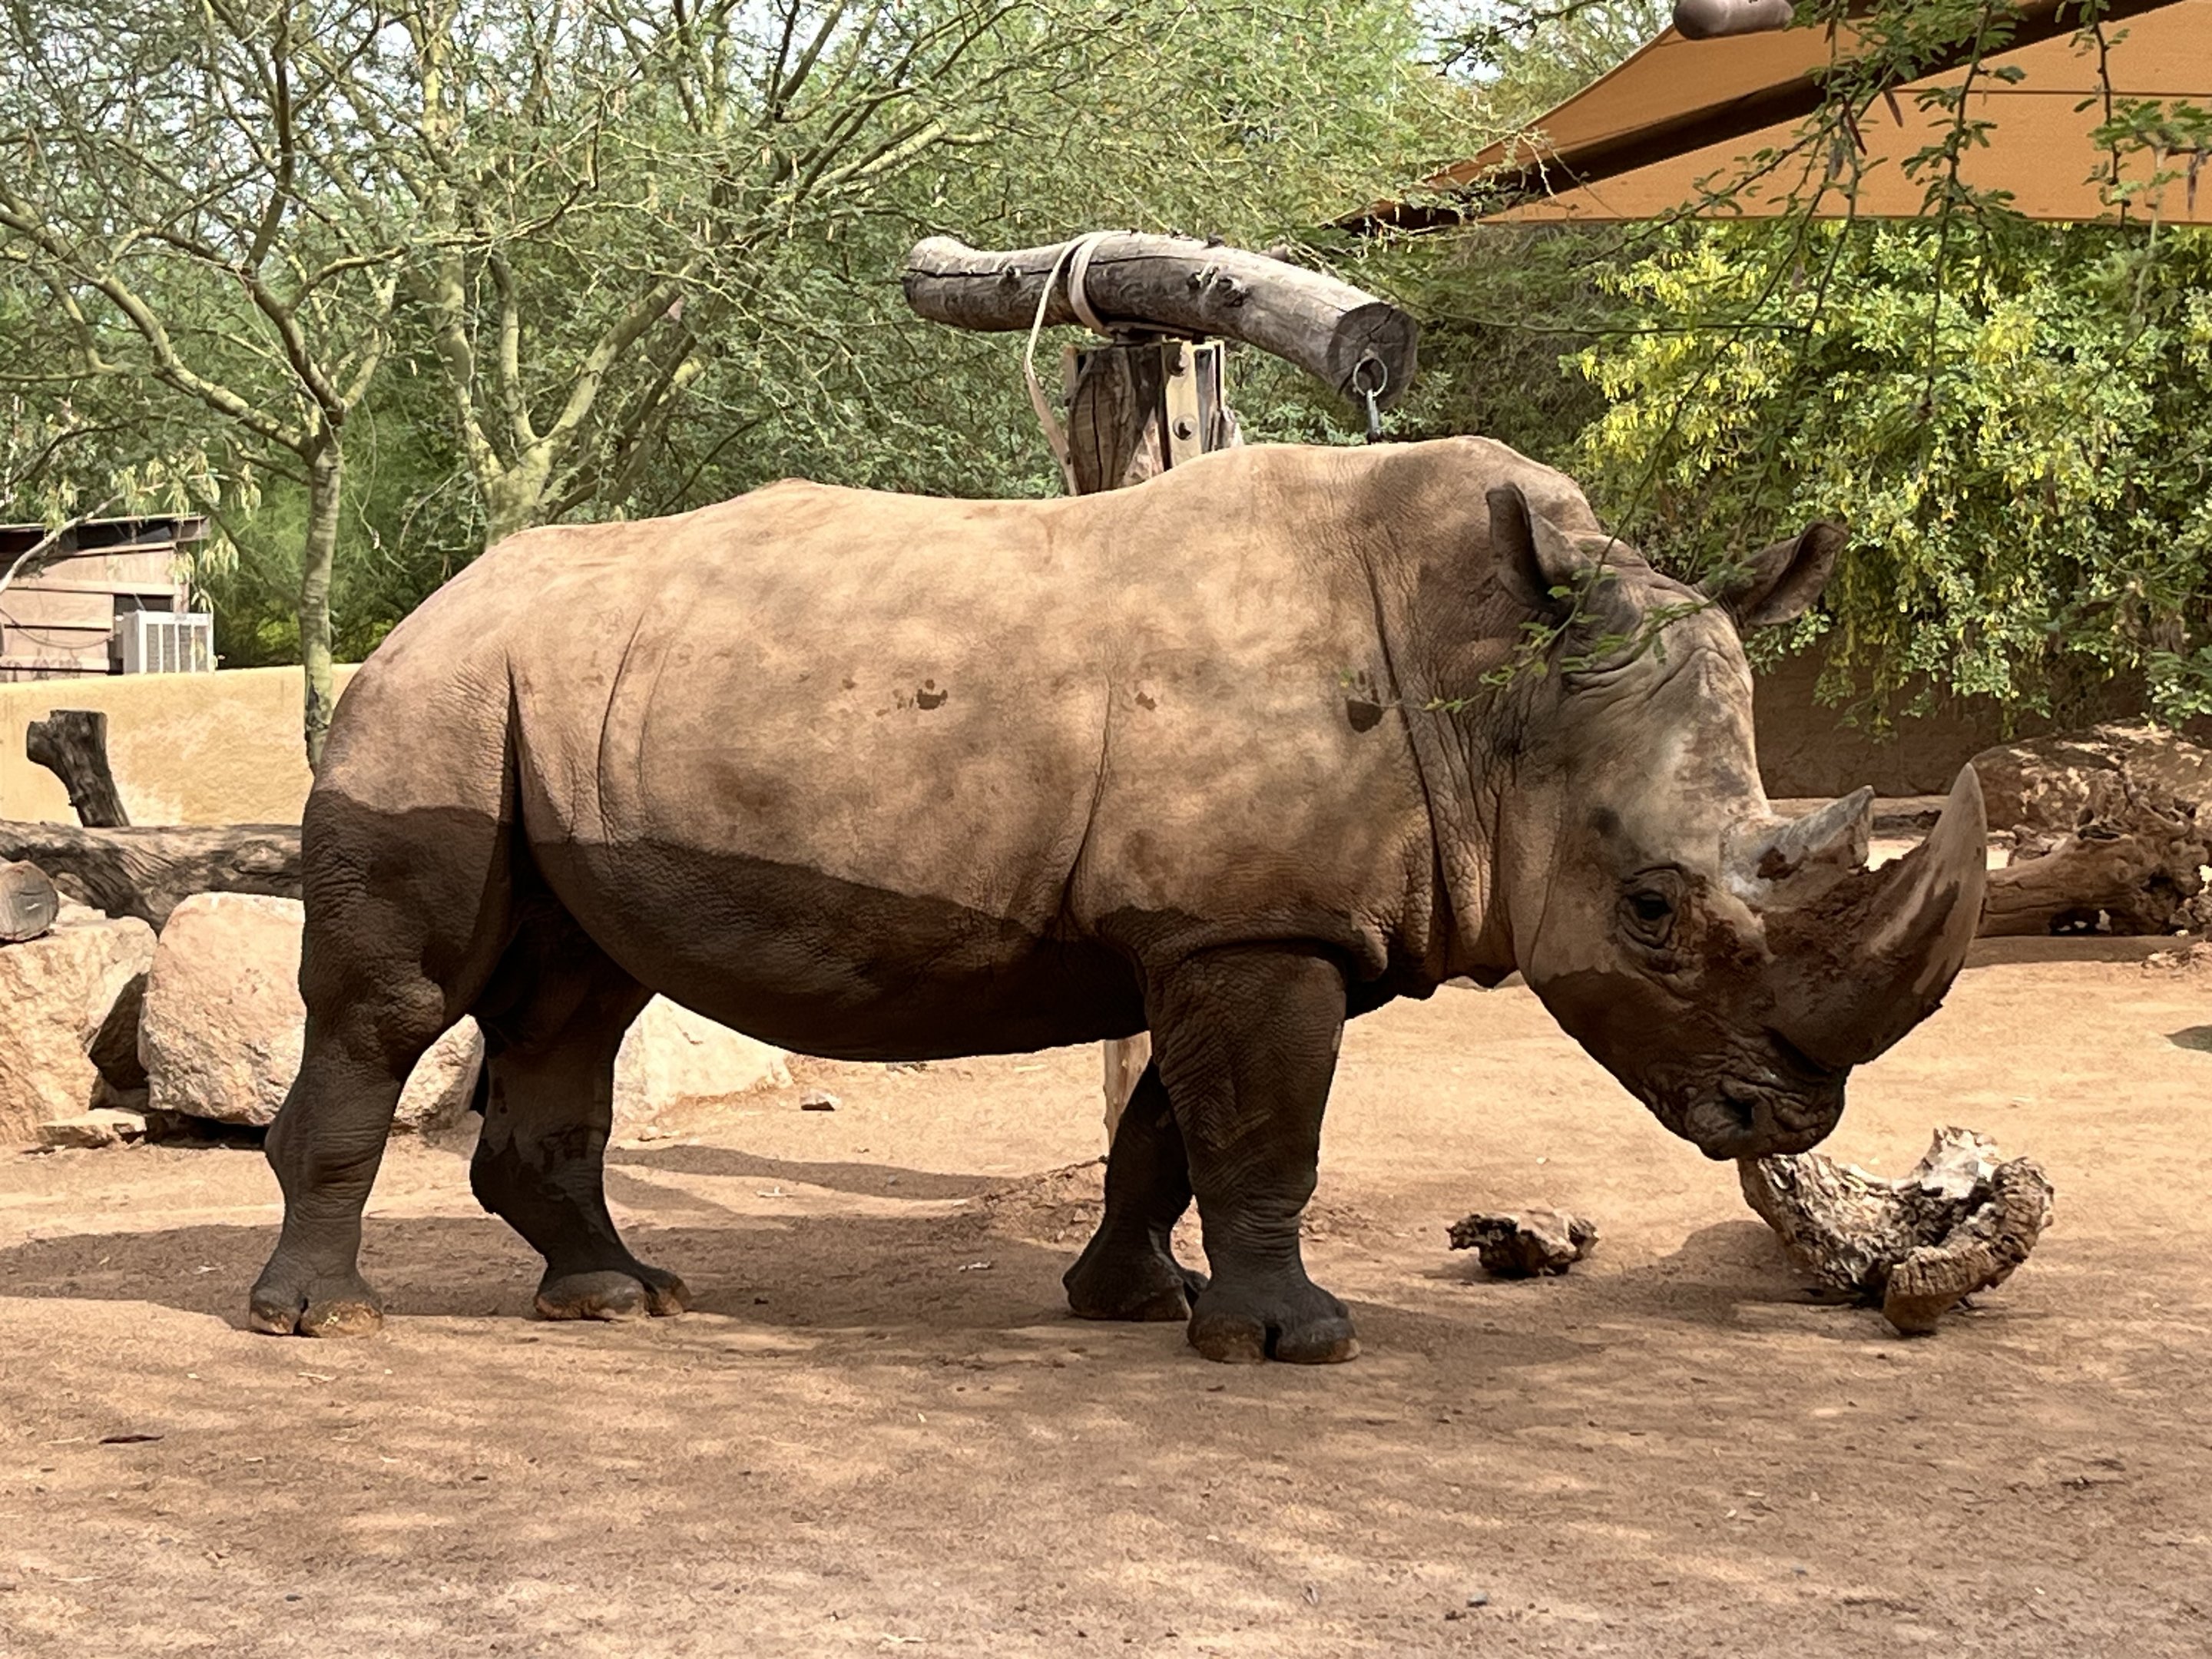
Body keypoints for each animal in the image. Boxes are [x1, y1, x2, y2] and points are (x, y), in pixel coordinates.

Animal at [250, 436, 1987, 1363]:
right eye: (1649, 912)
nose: (1788, 1121)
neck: (1496, 689)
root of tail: (430, 604)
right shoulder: (1252, 928)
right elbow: (1266, 1133)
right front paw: (1296, 1343)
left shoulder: (1234, 923)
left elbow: (1172, 1128)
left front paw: (1143, 1306)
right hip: (438, 697)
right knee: (398, 1002)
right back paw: (326, 1323)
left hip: (557, 700)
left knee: (578, 991)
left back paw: (619, 1300)